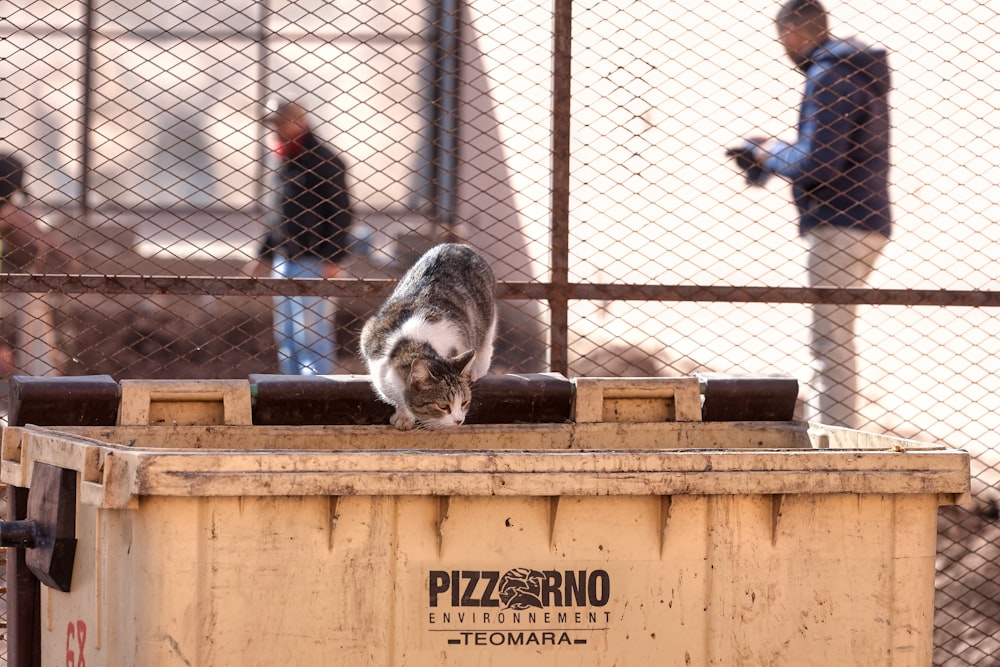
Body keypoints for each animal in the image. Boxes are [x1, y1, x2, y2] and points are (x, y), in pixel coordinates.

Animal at [362, 243, 498, 430]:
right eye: (442, 406)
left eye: (464, 403)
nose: (459, 420)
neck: (411, 342)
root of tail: (457, 245)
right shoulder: (369, 338)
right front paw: (403, 415)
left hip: (487, 310)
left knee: (487, 337)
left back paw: (478, 366)